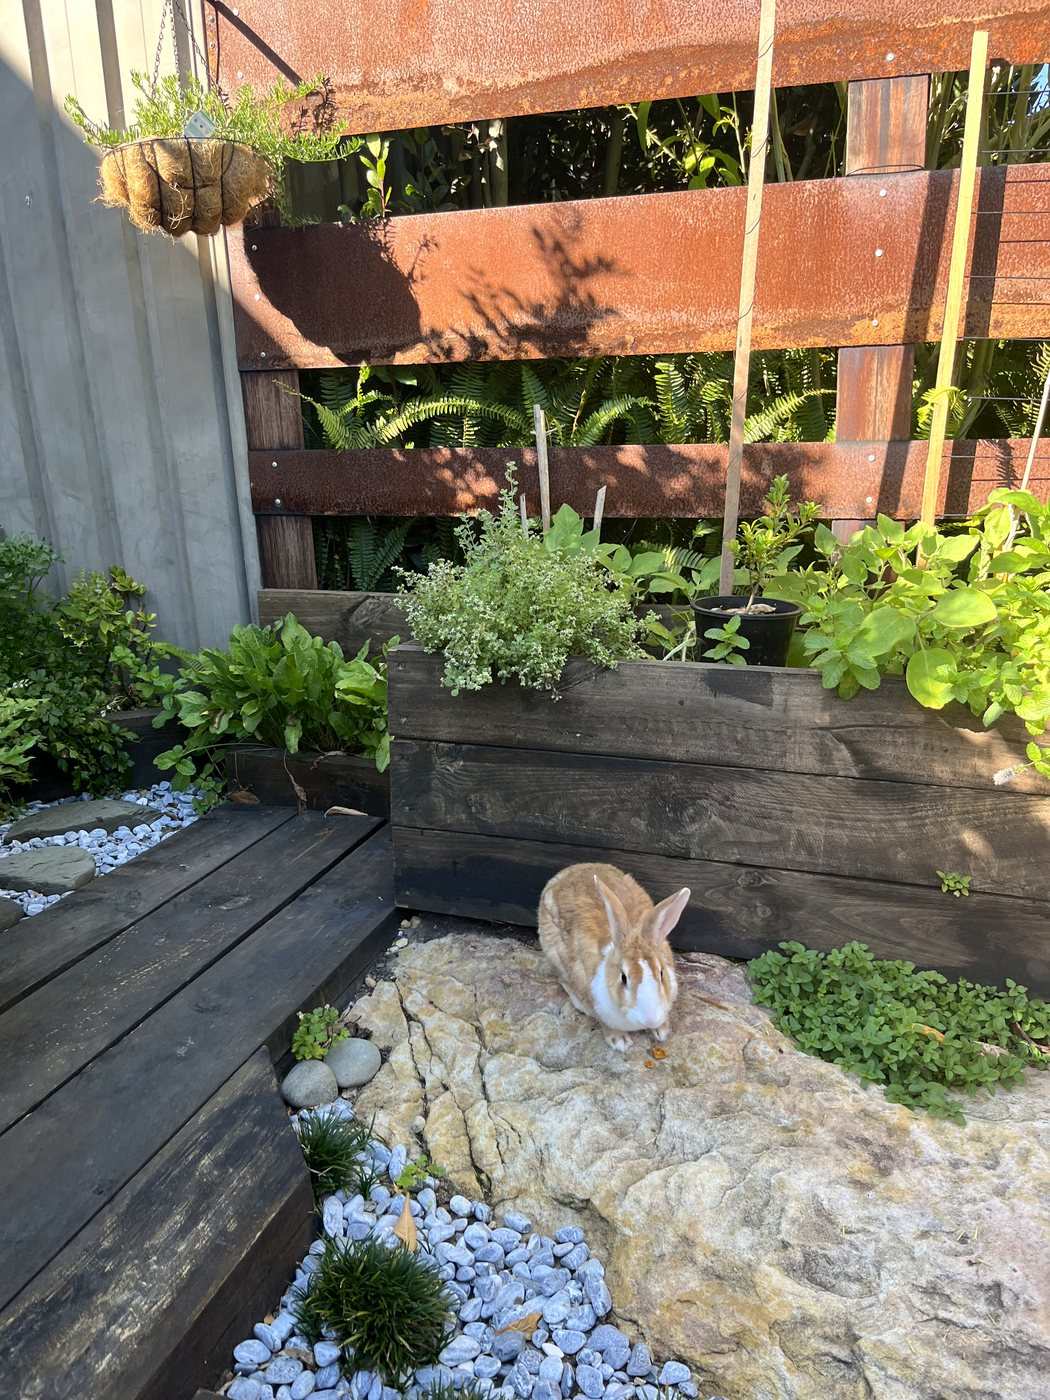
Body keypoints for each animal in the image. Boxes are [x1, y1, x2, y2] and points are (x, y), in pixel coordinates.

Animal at [538, 862, 690, 1051]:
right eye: (623, 978)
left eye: (661, 973)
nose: (650, 1019)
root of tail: (566, 872)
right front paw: (620, 1042)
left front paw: (662, 1031)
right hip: (554, 953)